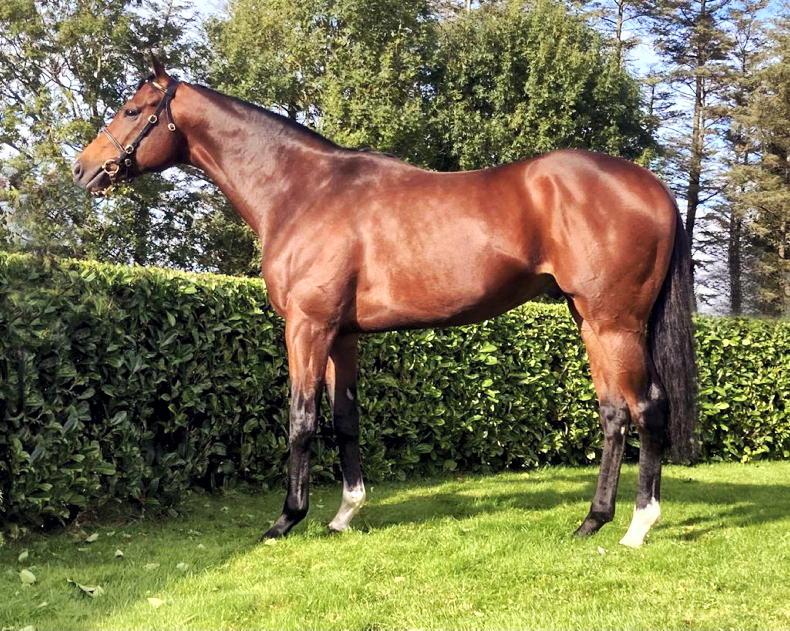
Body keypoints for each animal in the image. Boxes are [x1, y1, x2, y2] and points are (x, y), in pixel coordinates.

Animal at [73, 57, 697, 547]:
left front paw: (286, 520)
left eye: (132, 109)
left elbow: (301, 419)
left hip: (614, 323)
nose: (83, 169)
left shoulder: (307, 328)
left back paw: (637, 527)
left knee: (646, 409)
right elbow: (344, 419)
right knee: (615, 413)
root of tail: (653, 186)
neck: (303, 191)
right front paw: (344, 514)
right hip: (589, 321)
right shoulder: (341, 336)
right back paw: (592, 521)